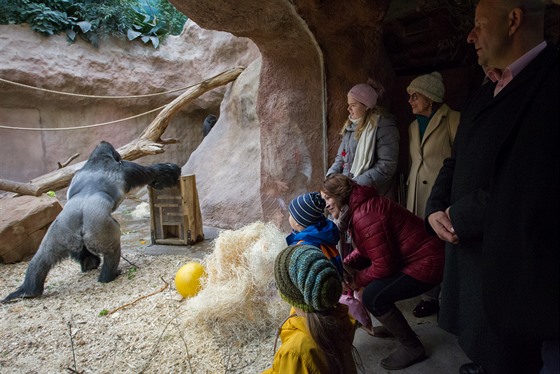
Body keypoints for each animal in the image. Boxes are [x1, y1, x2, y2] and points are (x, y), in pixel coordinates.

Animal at [1, 142, 182, 302]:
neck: (97, 160)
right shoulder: (127, 168)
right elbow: (154, 172)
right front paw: (169, 172)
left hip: (61, 230)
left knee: (43, 256)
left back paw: (29, 290)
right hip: (100, 228)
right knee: (112, 250)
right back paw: (109, 276)